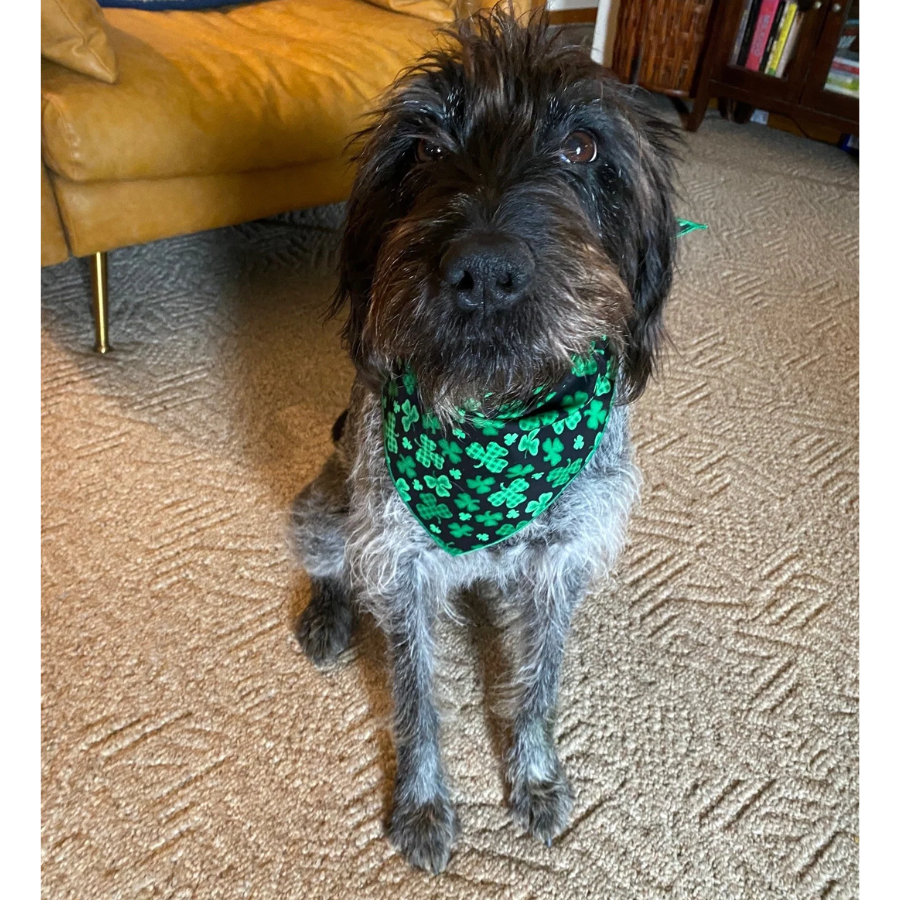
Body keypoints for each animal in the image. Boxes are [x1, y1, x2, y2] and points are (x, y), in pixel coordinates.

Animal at [292, 7, 680, 876]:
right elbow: (417, 698)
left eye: (582, 148)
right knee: (330, 564)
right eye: (425, 150)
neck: (499, 421)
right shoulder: (399, 565)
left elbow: (539, 683)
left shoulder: (563, 561)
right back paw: (330, 614)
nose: (483, 272)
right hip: (324, 509)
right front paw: (423, 802)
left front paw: (534, 775)